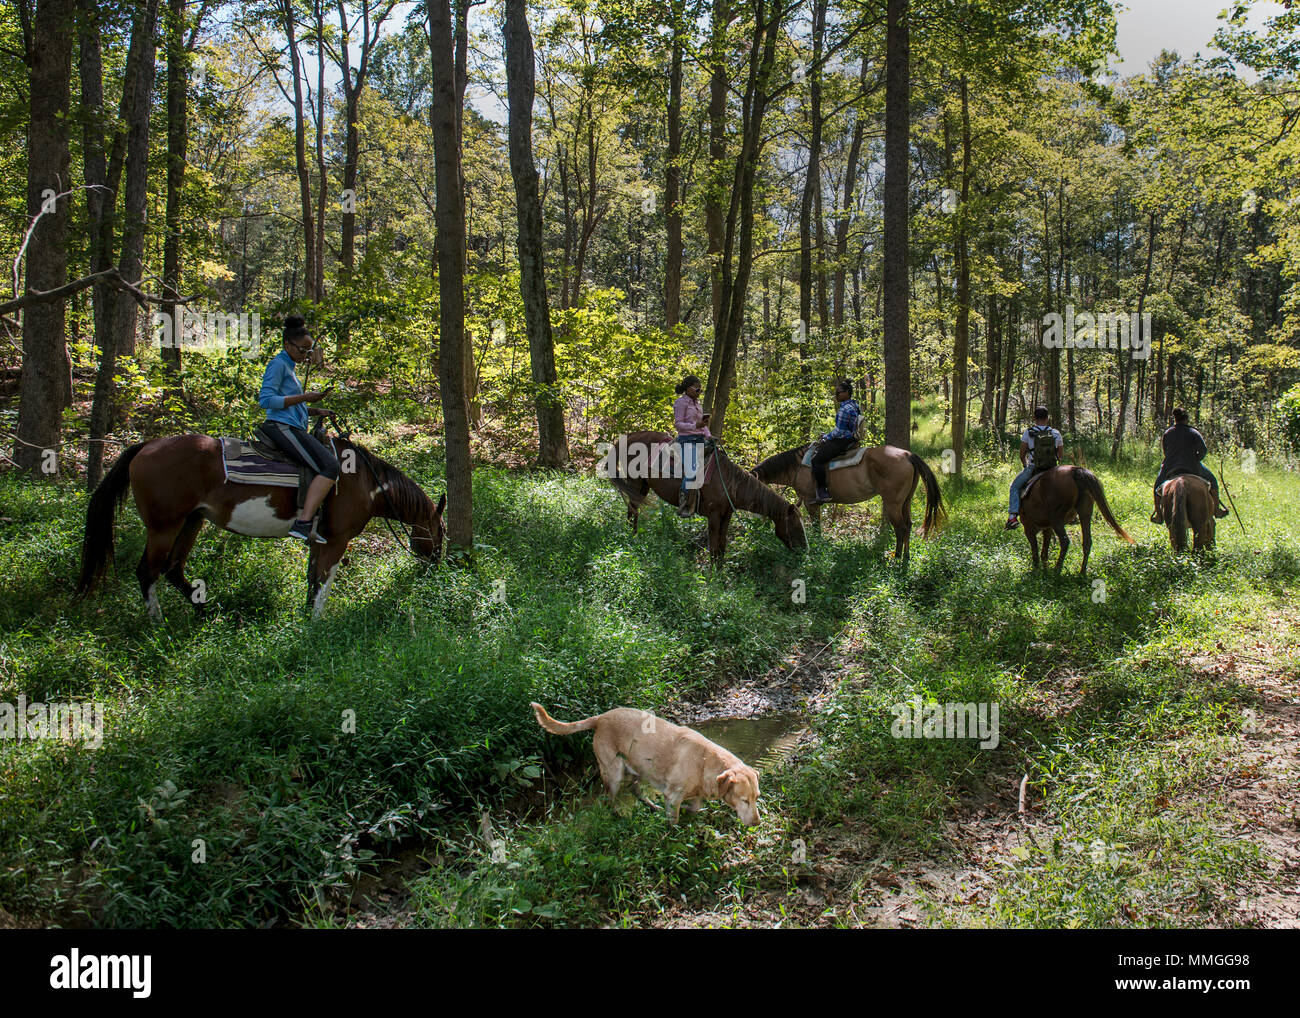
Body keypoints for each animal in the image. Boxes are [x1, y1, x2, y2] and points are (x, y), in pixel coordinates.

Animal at [73, 431, 447, 621]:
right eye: (440, 531)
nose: (436, 564)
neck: (365, 481)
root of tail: (144, 448)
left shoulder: (318, 541)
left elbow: (311, 581)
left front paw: (305, 617)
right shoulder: (336, 541)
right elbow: (323, 584)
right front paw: (317, 624)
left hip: (192, 522)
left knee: (173, 569)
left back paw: (207, 612)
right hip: (164, 526)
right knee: (147, 572)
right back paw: (158, 623)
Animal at [530, 707, 759, 826]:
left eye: (757, 798)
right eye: (744, 800)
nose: (757, 823)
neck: (704, 762)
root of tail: (602, 717)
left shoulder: (693, 793)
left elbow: (693, 807)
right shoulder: (673, 795)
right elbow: (674, 819)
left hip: (638, 770)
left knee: (635, 790)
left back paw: (652, 806)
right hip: (613, 773)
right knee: (609, 799)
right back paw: (617, 816)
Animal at [605, 429, 800, 564]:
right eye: (795, 524)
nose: (804, 550)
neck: (728, 481)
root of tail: (627, 437)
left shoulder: (726, 516)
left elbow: (722, 547)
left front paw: (720, 576)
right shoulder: (713, 516)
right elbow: (713, 549)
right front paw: (712, 579)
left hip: (643, 486)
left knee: (634, 511)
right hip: (634, 482)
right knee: (632, 511)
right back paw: (630, 540)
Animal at [754, 442, 946, 561]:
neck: (796, 467)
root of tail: (908, 455)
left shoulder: (810, 502)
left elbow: (816, 527)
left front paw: (818, 547)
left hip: (893, 503)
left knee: (900, 528)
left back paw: (897, 557)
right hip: (906, 501)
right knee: (909, 525)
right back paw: (906, 556)